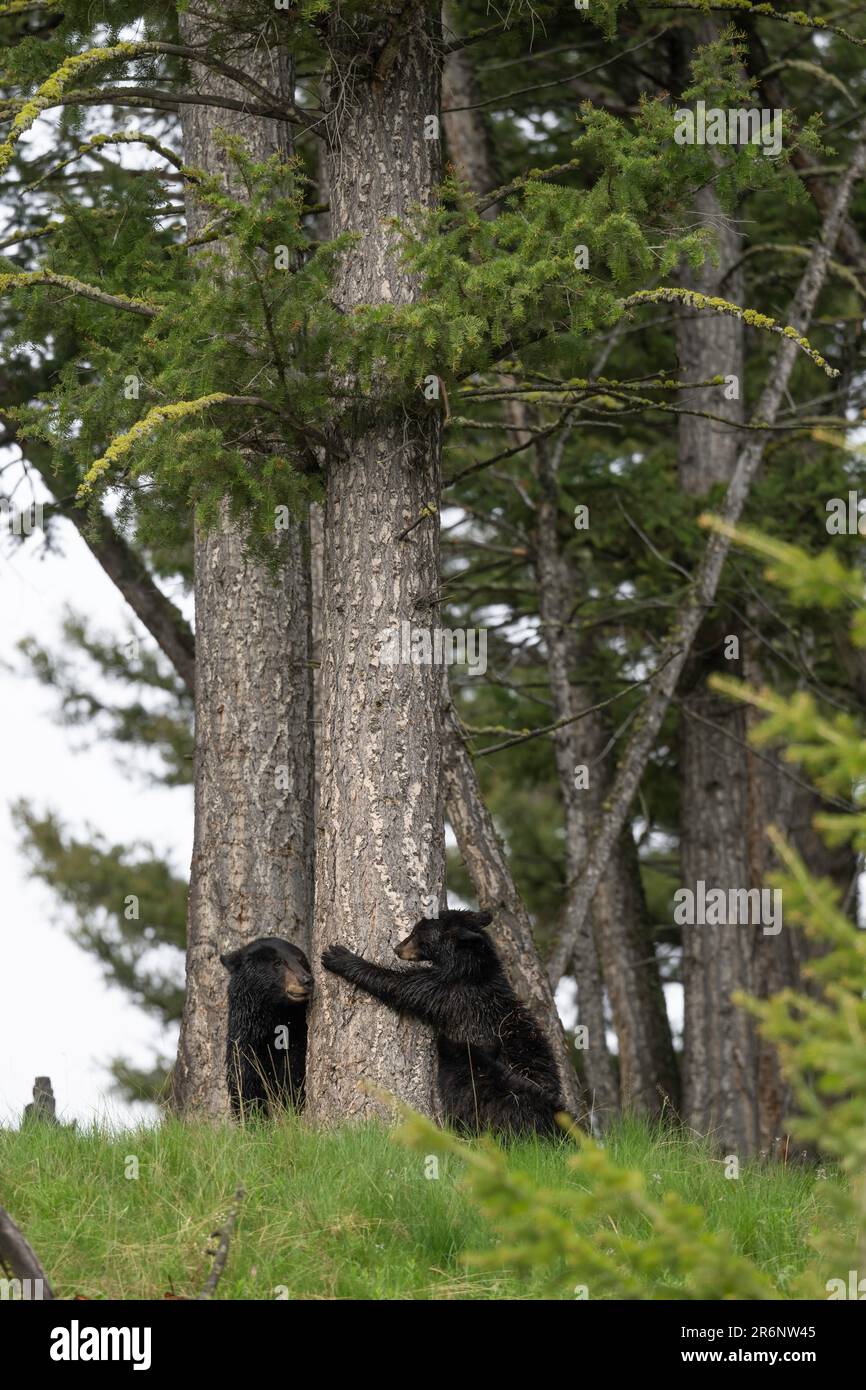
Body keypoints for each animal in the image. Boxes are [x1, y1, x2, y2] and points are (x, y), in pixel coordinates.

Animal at [221, 937, 313, 1116]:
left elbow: (293, 1077)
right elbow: (245, 1083)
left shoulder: (297, 1040)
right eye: (277, 963)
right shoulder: (244, 1043)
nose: (307, 980)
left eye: (301, 961)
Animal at [321, 908, 565, 1137]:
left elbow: (400, 985)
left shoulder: (447, 992)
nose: (397, 948)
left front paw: (339, 956)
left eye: (418, 933)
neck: (467, 967)